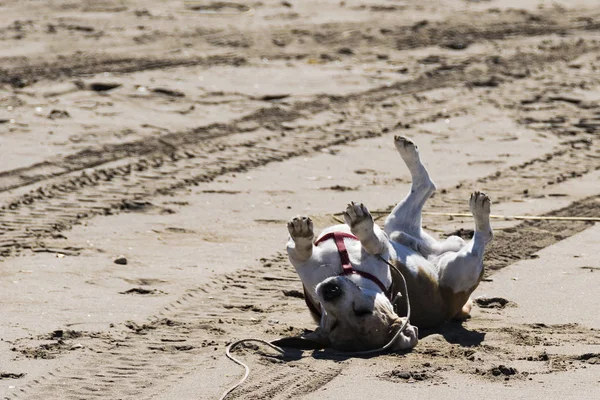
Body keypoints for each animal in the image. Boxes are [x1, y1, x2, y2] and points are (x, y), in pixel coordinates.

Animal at [284, 136, 492, 352]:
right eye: (332, 321)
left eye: (361, 311)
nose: (329, 291)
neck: (344, 271)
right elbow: (300, 251)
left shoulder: (380, 249)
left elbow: (370, 242)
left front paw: (360, 227)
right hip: (406, 227)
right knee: (427, 189)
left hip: (457, 263)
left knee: (480, 234)